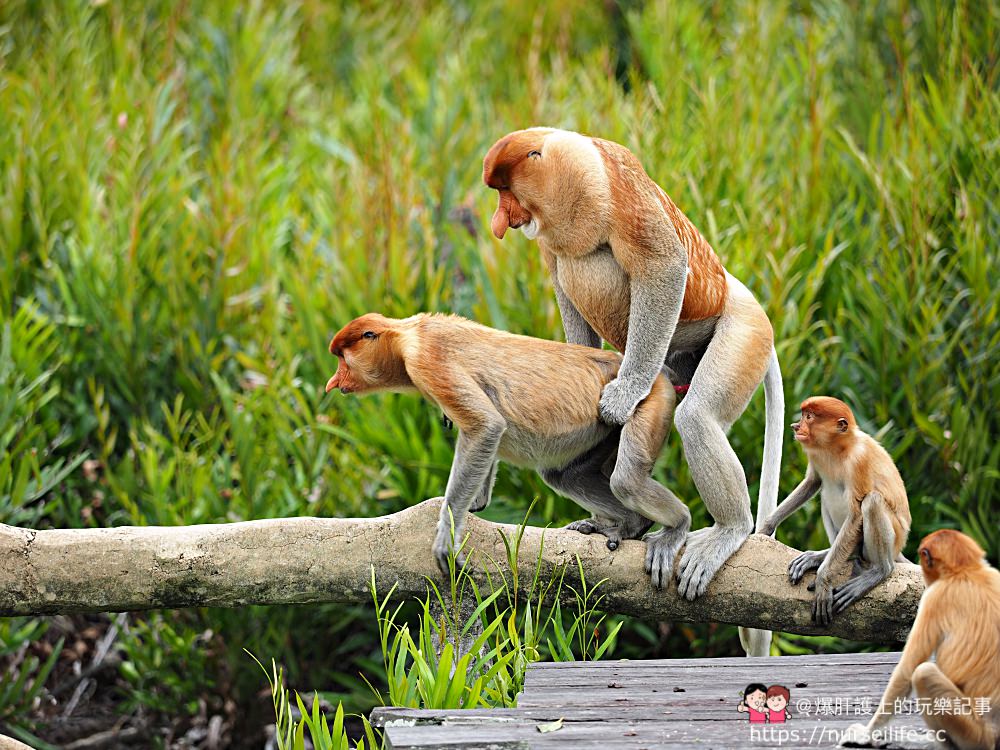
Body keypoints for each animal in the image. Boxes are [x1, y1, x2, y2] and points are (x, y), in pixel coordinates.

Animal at [324, 312, 692, 580]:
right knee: (567, 477)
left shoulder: (428, 361)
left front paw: (448, 532)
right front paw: (475, 504)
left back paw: (674, 526)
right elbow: (489, 432)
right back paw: (629, 524)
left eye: (343, 357)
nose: (333, 381)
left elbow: (486, 426)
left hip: (649, 402)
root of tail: (660, 376)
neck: (405, 338)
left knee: (626, 480)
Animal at [480, 129, 784, 656]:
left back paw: (726, 530)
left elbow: (662, 267)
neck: (571, 169)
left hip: (744, 330)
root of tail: (735, 288)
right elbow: (562, 277)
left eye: (505, 190)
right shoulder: (551, 245)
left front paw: (624, 395)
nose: (500, 223)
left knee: (697, 417)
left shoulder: (619, 190)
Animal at [756, 400, 916, 628]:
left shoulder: (859, 460)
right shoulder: (815, 456)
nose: (796, 426)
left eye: (809, 417)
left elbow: (857, 513)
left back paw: (880, 570)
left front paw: (823, 582)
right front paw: (765, 528)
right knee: (827, 490)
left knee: (872, 502)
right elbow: (813, 482)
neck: (838, 448)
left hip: (896, 537)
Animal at [840, 532, 1000, 748]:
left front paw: (865, 733)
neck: (966, 571)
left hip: (977, 735)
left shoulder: (933, 599)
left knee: (923, 673)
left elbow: (907, 670)